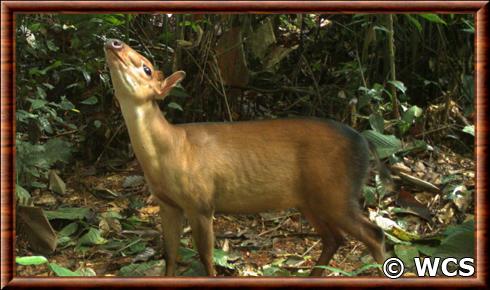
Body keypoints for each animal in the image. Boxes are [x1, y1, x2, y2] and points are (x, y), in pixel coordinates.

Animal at [105, 38, 388, 276]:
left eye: (147, 68)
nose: (114, 42)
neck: (170, 151)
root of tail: (365, 142)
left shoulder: (201, 202)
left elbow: (206, 258)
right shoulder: (167, 204)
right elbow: (170, 256)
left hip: (337, 192)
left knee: (374, 233)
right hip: (311, 198)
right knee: (334, 238)